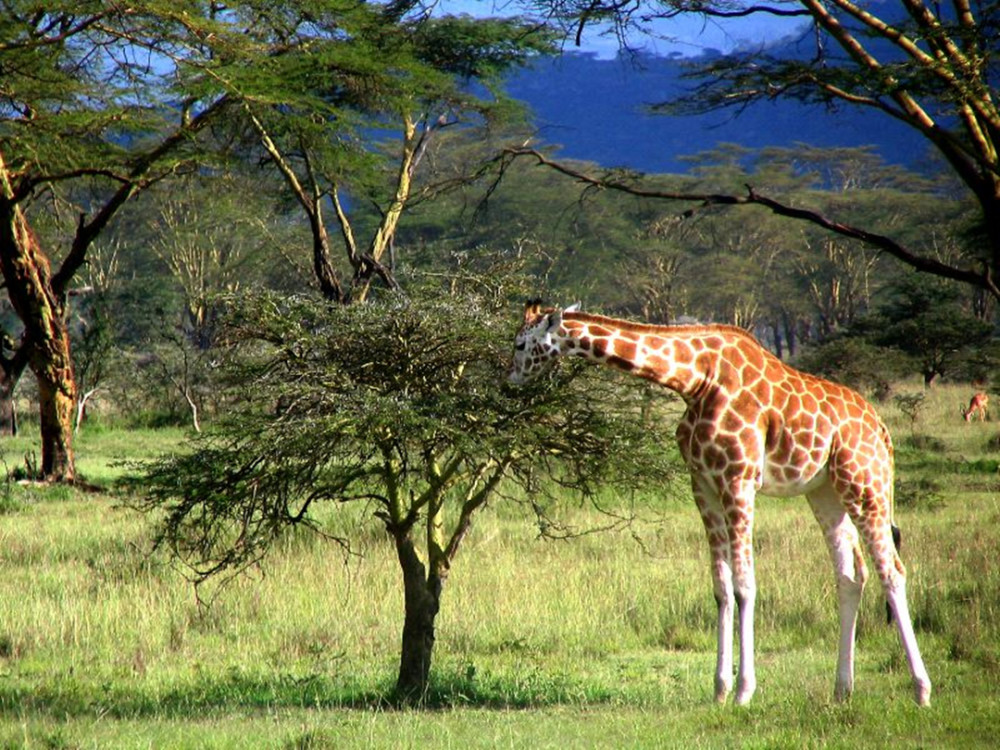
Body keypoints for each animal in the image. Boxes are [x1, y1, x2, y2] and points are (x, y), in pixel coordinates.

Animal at [512, 302, 932, 708]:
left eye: (519, 344)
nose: (509, 381)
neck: (695, 379)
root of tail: (881, 429)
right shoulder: (703, 485)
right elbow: (721, 587)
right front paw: (719, 689)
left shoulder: (738, 480)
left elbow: (745, 585)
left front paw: (744, 691)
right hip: (825, 491)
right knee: (850, 575)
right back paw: (842, 690)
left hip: (865, 482)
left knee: (892, 571)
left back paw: (921, 690)